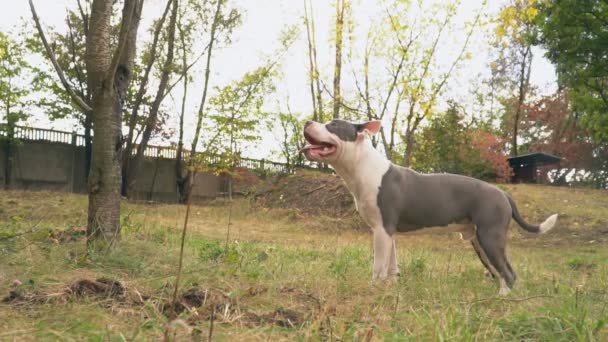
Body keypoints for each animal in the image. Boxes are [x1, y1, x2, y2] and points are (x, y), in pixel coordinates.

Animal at [300, 119, 556, 296]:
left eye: (333, 125)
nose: (307, 122)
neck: (362, 166)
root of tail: (503, 193)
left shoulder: (382, 230)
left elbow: (378, 266)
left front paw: (374, 289)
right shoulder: (388, 232)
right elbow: (391, 265)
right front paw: (391, 287)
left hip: (490, 236)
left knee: (507, 271)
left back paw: (503, 297)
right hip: (479, 241)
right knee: (498, 270)